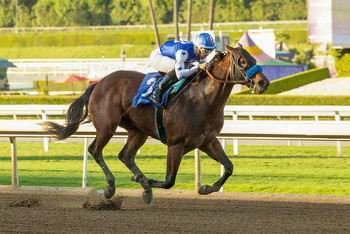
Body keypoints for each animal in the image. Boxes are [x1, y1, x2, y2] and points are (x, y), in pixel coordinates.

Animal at [41, 44, 270, 204]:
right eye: (242, 61)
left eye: (253, 58)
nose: (263, 83)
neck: (202, 99)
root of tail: (98, 83)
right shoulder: (176, 144)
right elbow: (169, 181)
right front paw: (143, 182)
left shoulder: (208, 141)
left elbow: (229, 167)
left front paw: (205, 188)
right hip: (107, 126)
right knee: (95, 150)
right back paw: (111, 187)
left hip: (138, 131)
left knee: (125, 155)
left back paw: (141, 183)